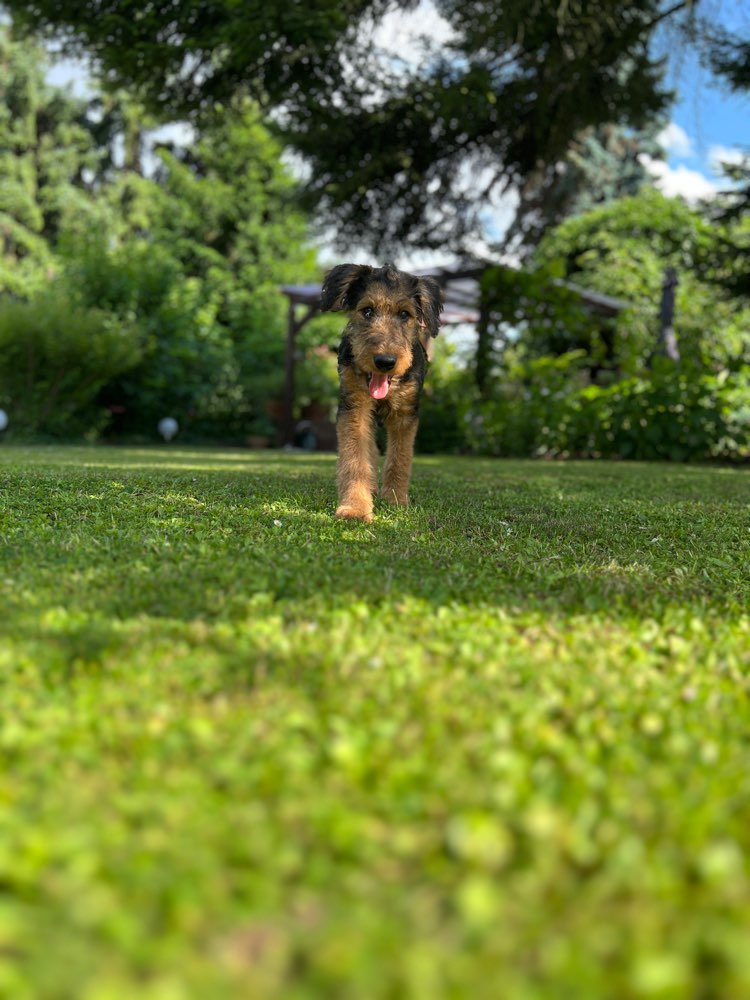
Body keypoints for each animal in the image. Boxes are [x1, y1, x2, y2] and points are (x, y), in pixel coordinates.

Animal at [320, 262, 444, 524]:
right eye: (367, 311)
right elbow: (355, 459)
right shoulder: (354, 409)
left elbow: (399, 459)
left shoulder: (405, 415)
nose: (385, 361)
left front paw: (395, 500)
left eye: (405, 314)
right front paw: (355, 507)